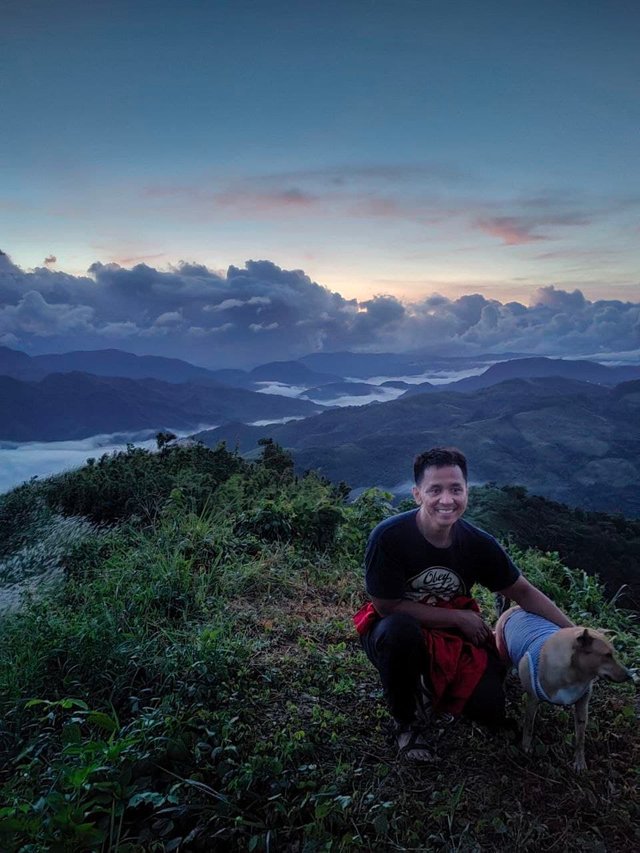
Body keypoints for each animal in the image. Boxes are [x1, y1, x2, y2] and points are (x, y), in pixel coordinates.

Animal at [492, 604, 632, 768]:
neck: (576, 675)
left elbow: (580, 738)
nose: (630, 675)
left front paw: (579, 761)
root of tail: (515, 608)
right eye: (607, 655)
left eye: (613, 654)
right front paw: (526, 746)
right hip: (504, 654)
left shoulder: (582, 706)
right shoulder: (533, 699)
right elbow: (528, 725)